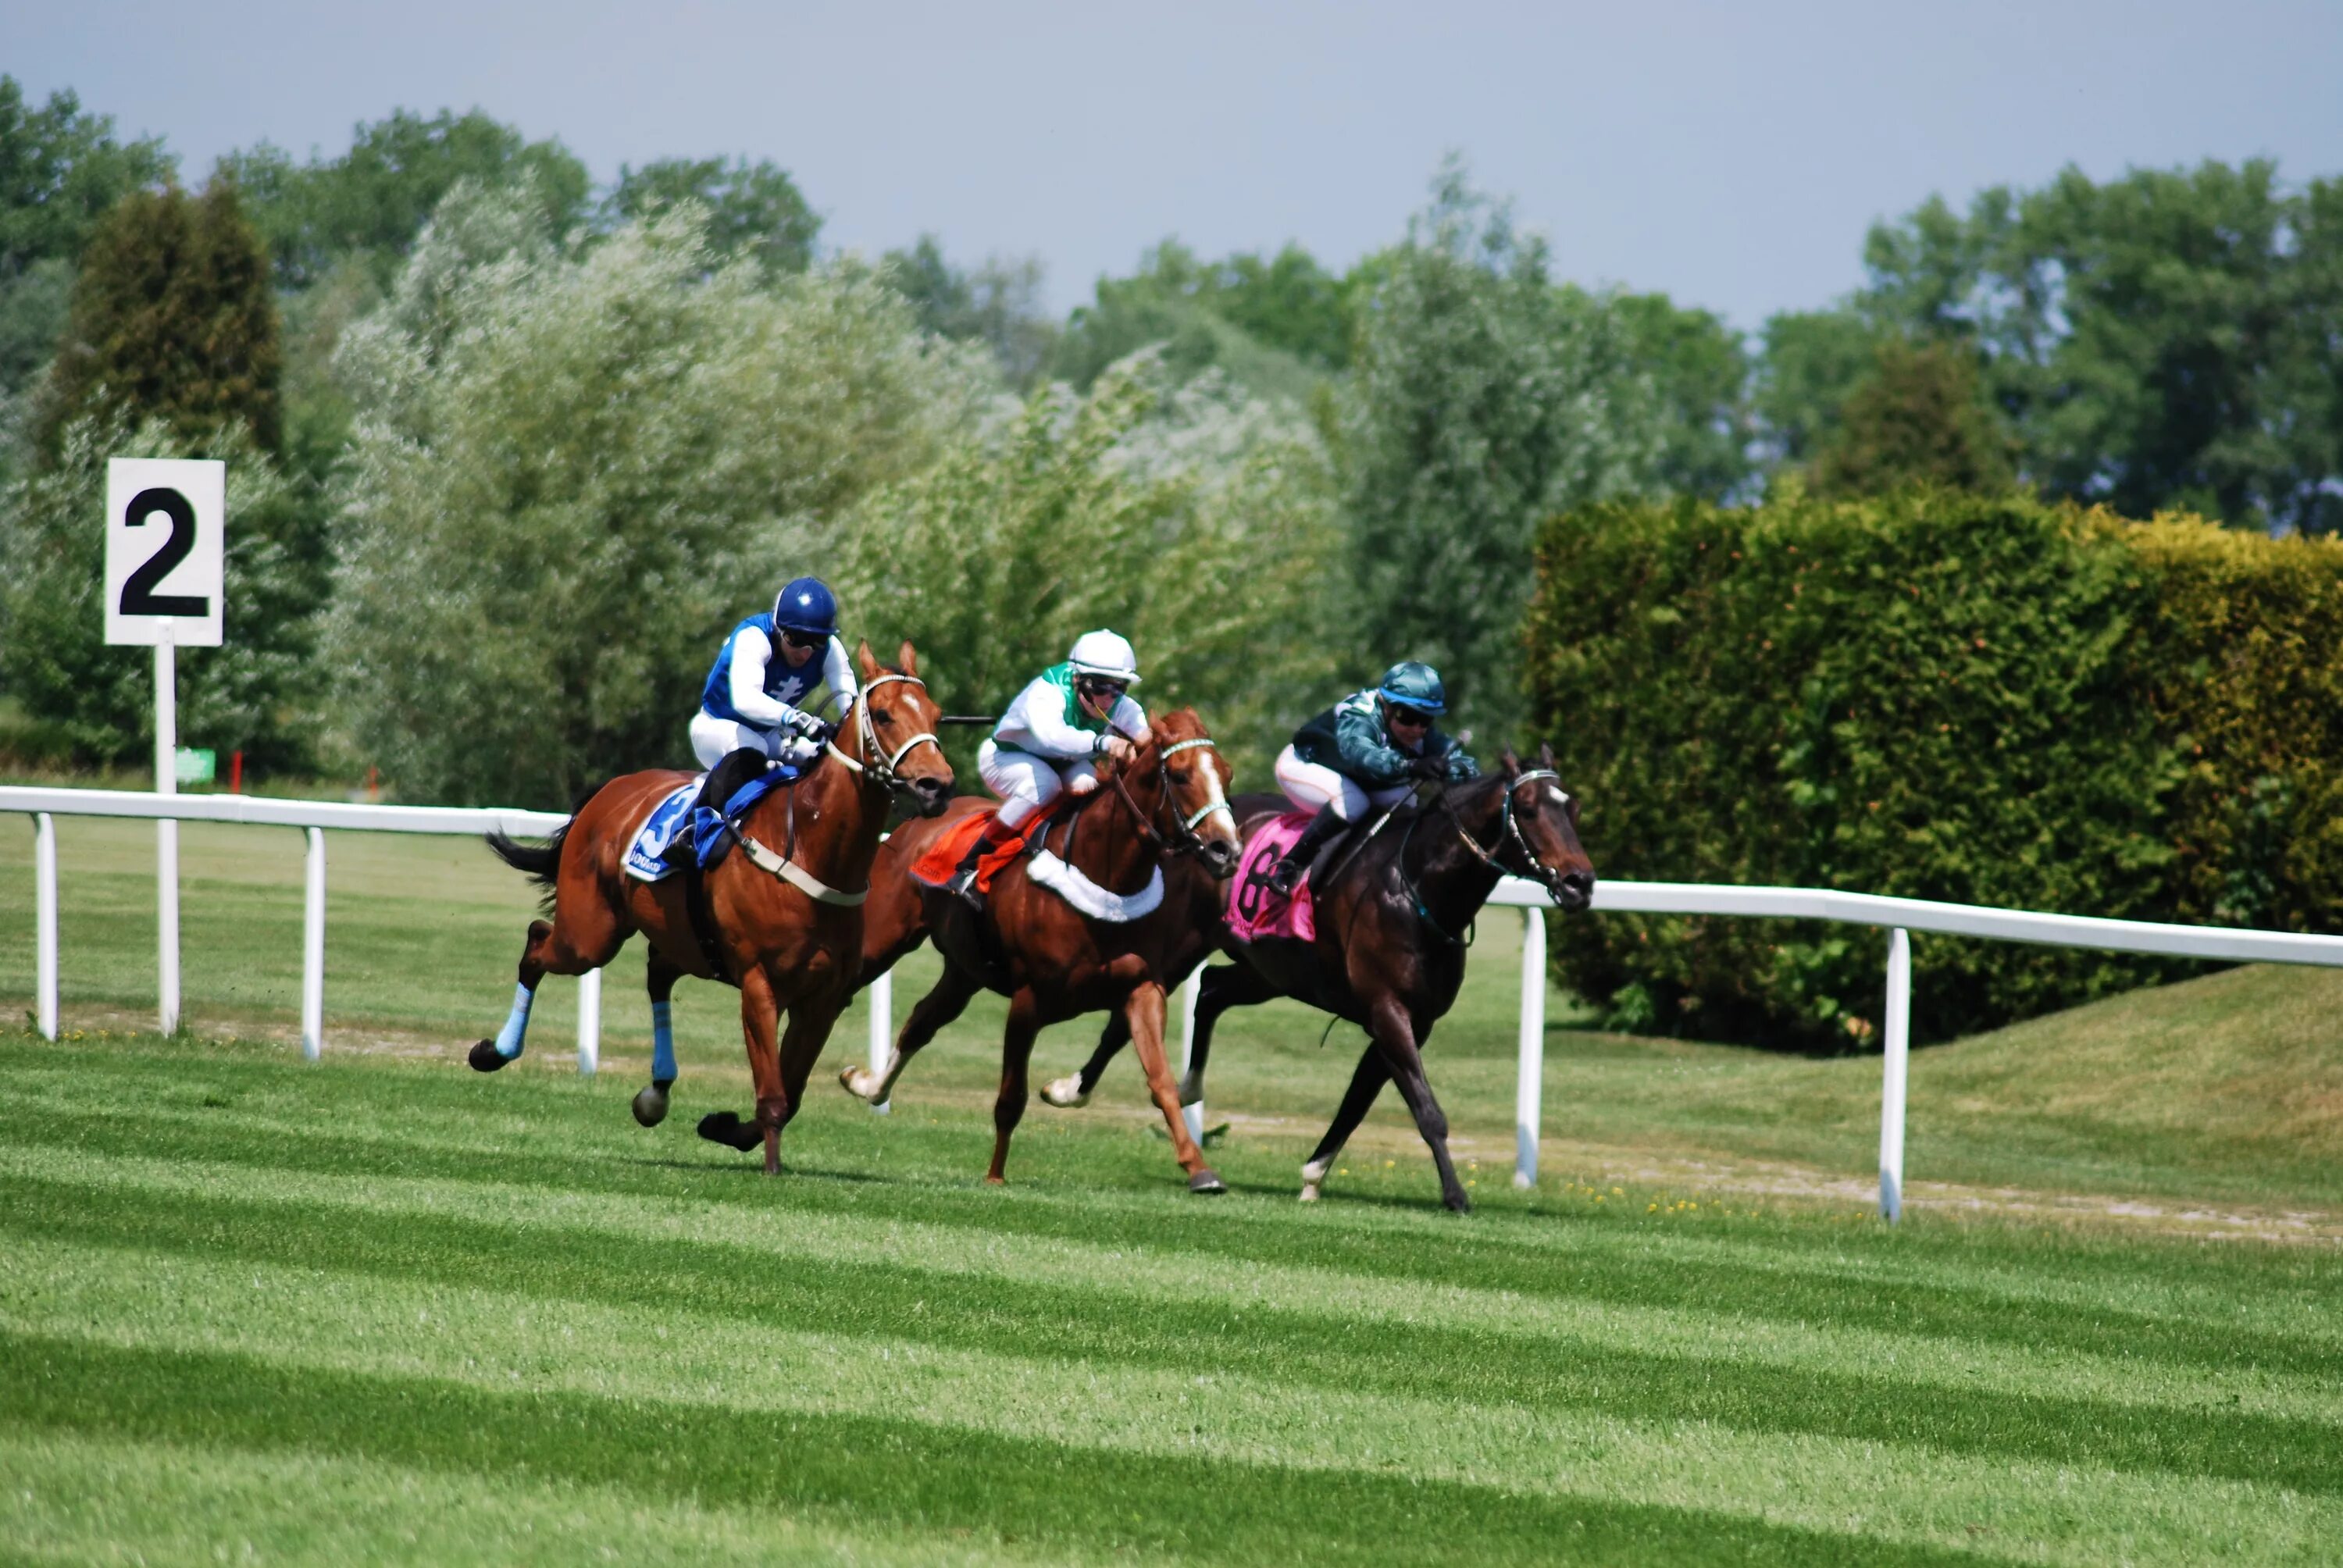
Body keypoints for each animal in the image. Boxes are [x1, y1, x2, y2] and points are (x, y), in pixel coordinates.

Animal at [466, 637, 951, 1171]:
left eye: (935, 713)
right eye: (883, 715)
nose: (937, 784)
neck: (811, 846)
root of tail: (610, 792)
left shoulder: (824, 998)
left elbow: (791, 1091)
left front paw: (727, 1128)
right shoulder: (760, 985)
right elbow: (774, 1094)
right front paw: (771, 1168)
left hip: (683, 939)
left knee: (657, 973)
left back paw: (656, 1092)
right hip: (590, 935)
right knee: (537, 944)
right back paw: (494, 1051)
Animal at [839, 707, 1246, 1185]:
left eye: (1227, 773)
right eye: (1180, 775)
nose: (1226, 851)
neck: (1104, 878)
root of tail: (915, 823)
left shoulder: (1143, 987)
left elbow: (1160, 1079)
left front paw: (1199, 1169)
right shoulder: (1028, 1000)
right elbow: (1011, 1096)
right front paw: (995, 1176)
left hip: (964, 971)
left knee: (921, 1022)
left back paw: (866, 1084)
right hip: (883, 940)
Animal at [1059, 745, 1593, 1209]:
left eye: (1572, 807)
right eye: (1527, 808)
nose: (1580, 883)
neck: (1418, 886)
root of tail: (1194, 834)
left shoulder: (1409, 1020)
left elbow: (1358, 1101)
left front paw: (1314, 1175)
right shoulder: (1388, 1010)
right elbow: (1427, 1111)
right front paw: (1456, 1196)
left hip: (1271, 971)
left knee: (1210, 990)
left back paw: (1188, 1086)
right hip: (1180, 947)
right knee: (1130, 1014)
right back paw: (1071, 1089)